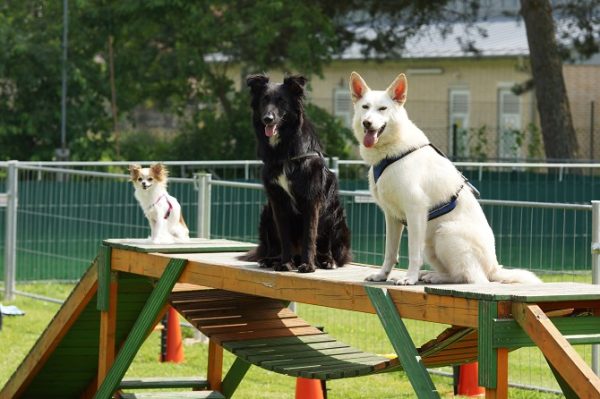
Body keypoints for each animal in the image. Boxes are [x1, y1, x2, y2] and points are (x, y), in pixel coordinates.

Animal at [239, 74, 352, 276]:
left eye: (281, 101)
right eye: (264, 100)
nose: (267, 119)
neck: (284, 152)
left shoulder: (311, 199)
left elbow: (309, 235)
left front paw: (308, 266)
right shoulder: (277, 200)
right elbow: (284, 237)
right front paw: (285, 263)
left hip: (336, 216)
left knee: (332, 251)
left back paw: (326, 260)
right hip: (266, 213)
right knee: (274, 246)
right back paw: (271, 260)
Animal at [350, 71, 540, 284]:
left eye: (383, 108)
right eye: (365, 107)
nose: (367, 122)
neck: (391, 153)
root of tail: (493, 268)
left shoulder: (415, 212)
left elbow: (413, 252)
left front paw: (410, 278)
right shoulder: (391, 217)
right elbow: (390, 252)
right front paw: (382, 275)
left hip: (444, 232)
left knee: (468, 277)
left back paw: (432, 277)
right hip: (430, 243)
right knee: (455, 272)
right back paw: (430, 275)